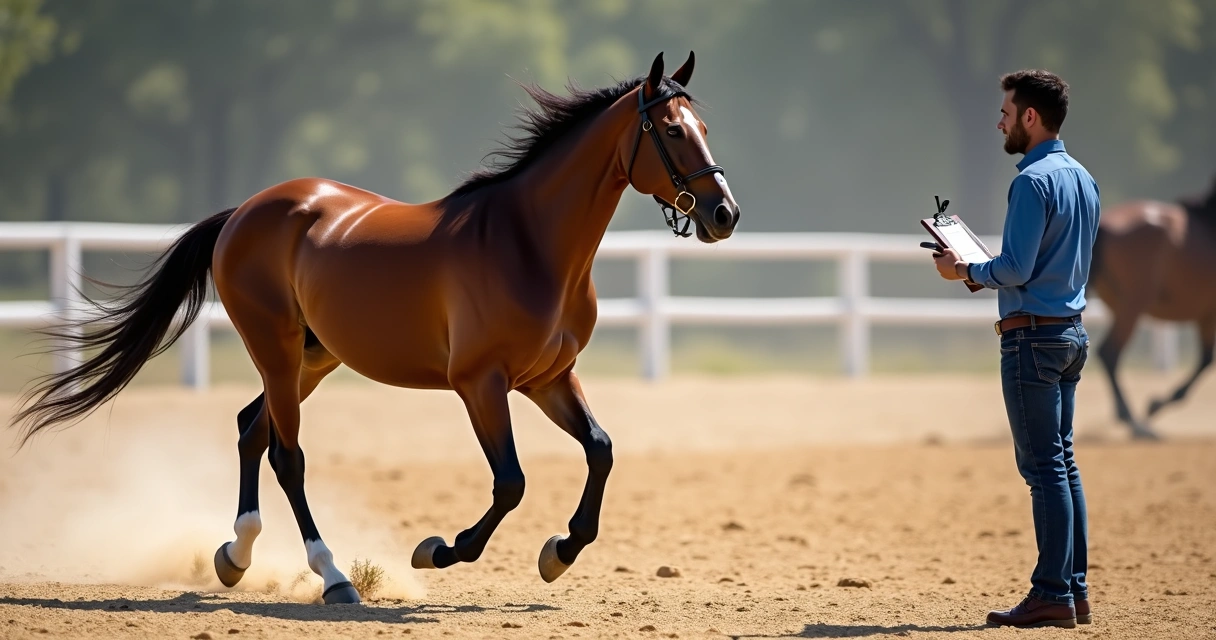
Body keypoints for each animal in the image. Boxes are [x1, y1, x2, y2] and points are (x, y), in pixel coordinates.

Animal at [8, 51, 741, 604]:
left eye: (705, 123)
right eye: (673, 131)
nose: (724, 214)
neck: (528, 243)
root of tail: (245, 211)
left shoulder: (550, 378)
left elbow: (601, 450)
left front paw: (558, 553)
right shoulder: (480, 383)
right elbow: (510, 482)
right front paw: (438, 550)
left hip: (313, 358)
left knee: (251, 430)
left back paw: (234, 557)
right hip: (277, 351)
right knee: (287, 455)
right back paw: (333, 578)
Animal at [1089, 174, 1216, 440]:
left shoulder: (1207, 315)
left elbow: (1206, 360)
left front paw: (1156, 405)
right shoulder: (1211, 313)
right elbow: (1205, 362)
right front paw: (1155, 406)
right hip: (1133, 305)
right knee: (1109, 353)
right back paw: (1134, 422)